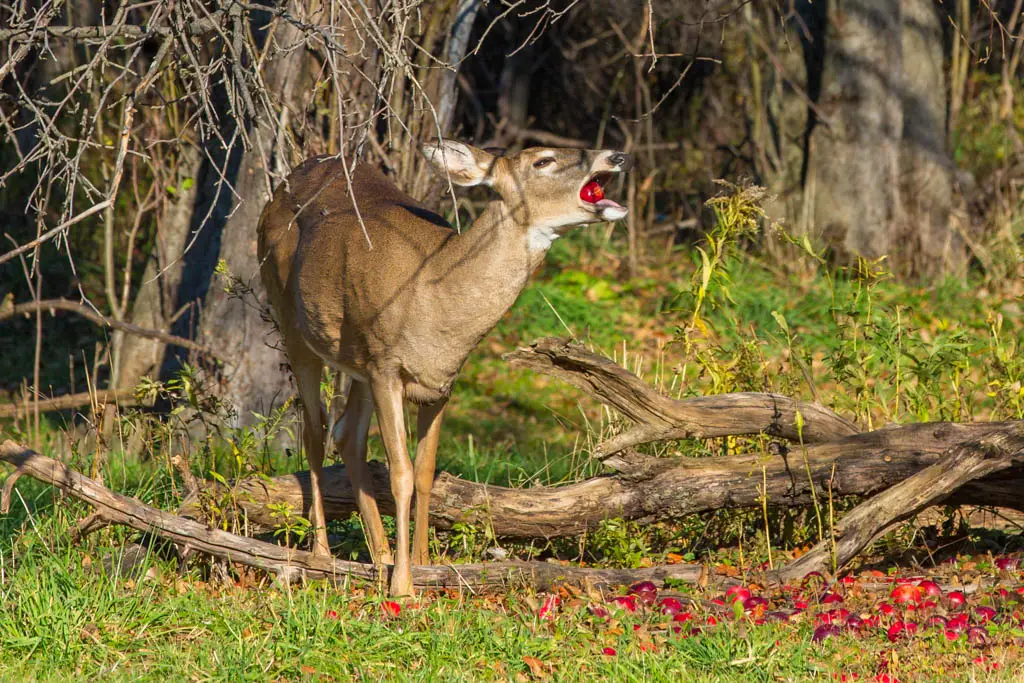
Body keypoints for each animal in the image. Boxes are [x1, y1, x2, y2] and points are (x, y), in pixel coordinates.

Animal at [256, 141, 630, 593]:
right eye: (543, 160)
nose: (616, 156)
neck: (435, 299)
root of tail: (282, 186)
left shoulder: (440, 382)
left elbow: (424, 473)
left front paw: (421, 564)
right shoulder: (386, 367)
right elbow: (399, 474)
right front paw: (402, 585)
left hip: (358, 356)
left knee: (347, 433)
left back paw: (379, 554)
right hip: (293, 323)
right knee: (316, 430)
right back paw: (322, 554)